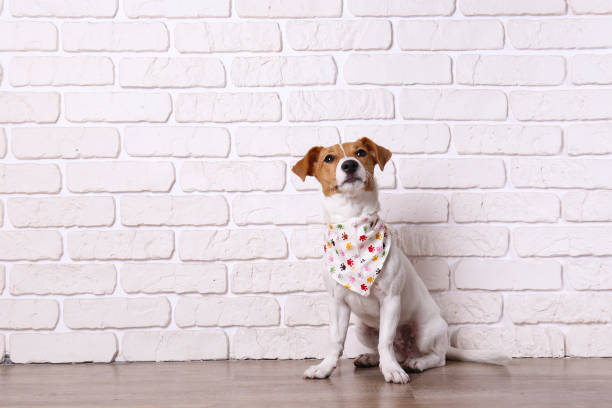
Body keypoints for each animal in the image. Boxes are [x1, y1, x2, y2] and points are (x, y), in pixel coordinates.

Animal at [292, 139, 512, 384]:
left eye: (360, 153)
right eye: (329, 158)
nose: (349, 165)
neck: (354, 224)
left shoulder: (391, 300)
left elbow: (386, 341)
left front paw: (392, 370)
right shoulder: (337, 303)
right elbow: (336, 341)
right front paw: (325, 368)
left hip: (426, 331)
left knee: (437, 357)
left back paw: (416, 362)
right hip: (363, 330)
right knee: (388, 349)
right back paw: (371, 358)